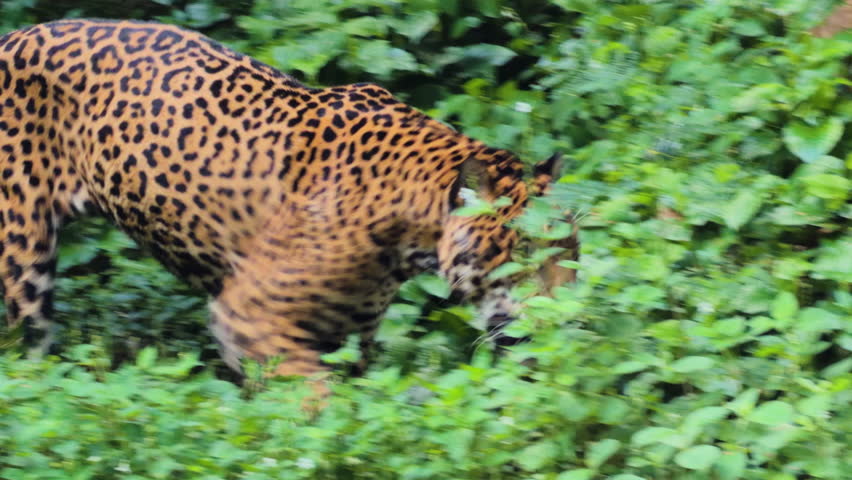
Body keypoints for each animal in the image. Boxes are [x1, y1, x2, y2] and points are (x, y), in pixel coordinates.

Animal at [0, 19, 571, 379]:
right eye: (518, 254)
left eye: (574, 252)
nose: (569, 319)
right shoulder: (248, 315)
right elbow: (315, 401)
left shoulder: (349, 335)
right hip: (22, 258)